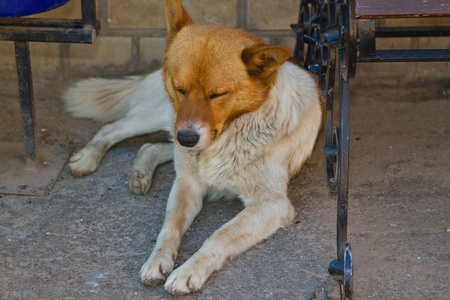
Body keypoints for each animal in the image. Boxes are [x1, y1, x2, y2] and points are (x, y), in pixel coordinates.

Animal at [62, 0, 324, 296]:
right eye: (180, 88)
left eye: (218, 94)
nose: (188, 138)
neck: (231, 132)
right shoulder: (188, 182)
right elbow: (170, 225)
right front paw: (157, 259)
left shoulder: (272, 204)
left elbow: (220, 235)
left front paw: (188, 271)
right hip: (164, 117)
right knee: (114, 128)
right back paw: (89, 157)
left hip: (171, 129)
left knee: (151, 146)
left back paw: (140, 174)